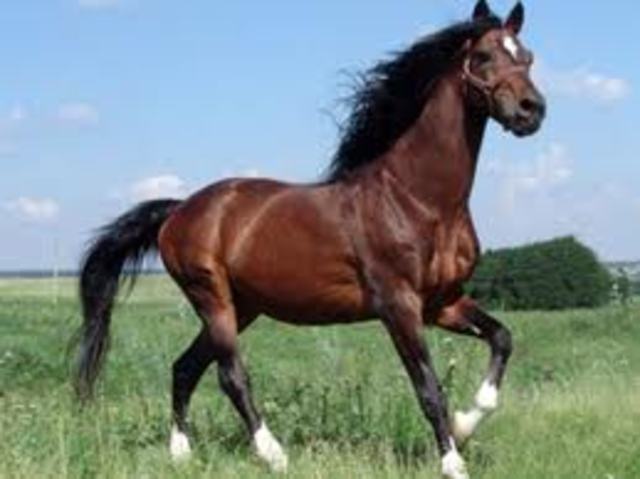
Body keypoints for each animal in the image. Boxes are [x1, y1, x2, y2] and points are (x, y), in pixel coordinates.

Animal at [73, 1, 545, 478]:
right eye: (483, 56)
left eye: (527, 58)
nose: (532, 110)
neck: (418, 200)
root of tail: (179, 210)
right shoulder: (399, 306)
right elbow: (428, 387)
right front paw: (453, 461)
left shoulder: (441, 302)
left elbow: (502, 338)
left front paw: (465, 425)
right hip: (212, 298)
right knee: (230, 376)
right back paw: (274, 454)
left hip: (244, 306)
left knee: (185, 368)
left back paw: (181, 453)